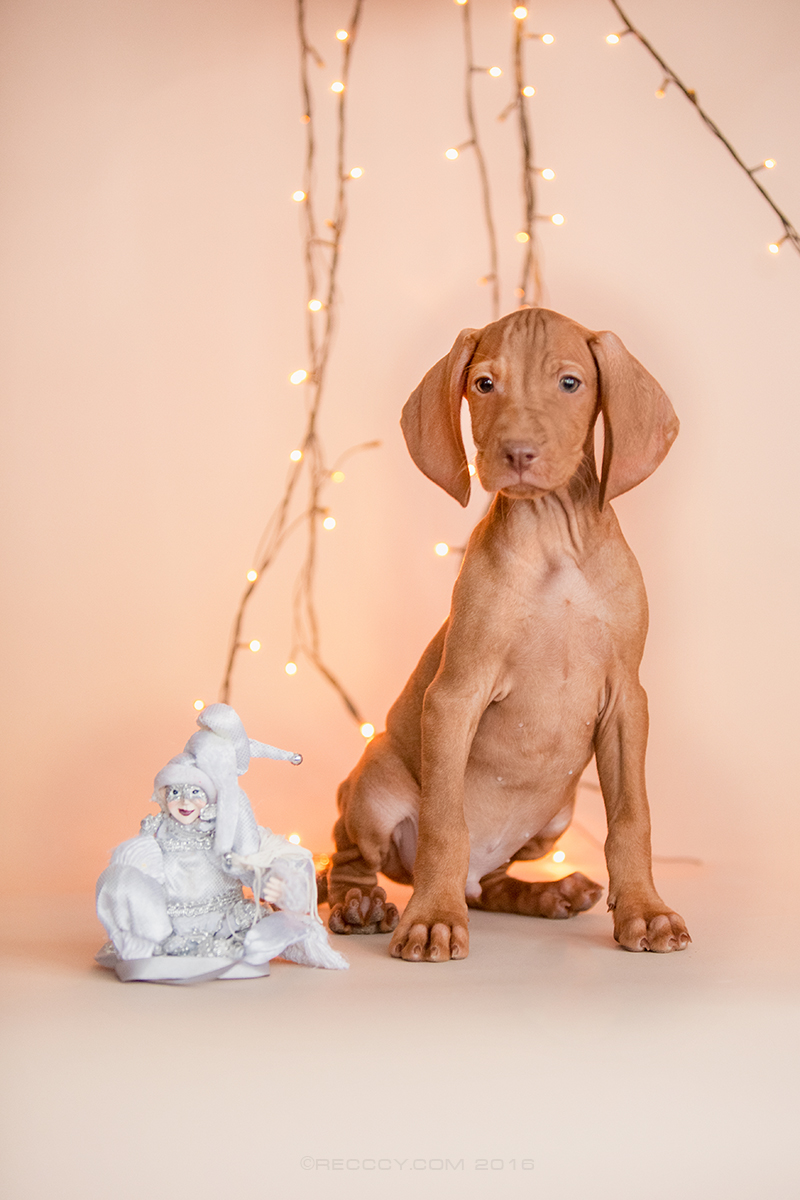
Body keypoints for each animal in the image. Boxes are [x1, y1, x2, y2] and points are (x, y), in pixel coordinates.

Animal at [326, 312, 690, 964]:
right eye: (484, 385)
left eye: (570, 383)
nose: (517, 452)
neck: (553, 542)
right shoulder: (455, 696)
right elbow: (444, 825)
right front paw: (432, 921)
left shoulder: (628, 700)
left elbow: (632, 818)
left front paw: (645, 911)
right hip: (373, 785)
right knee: (347, 855)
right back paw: (359, 904)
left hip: (557, 815)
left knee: (490, 886)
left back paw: (548, 893)